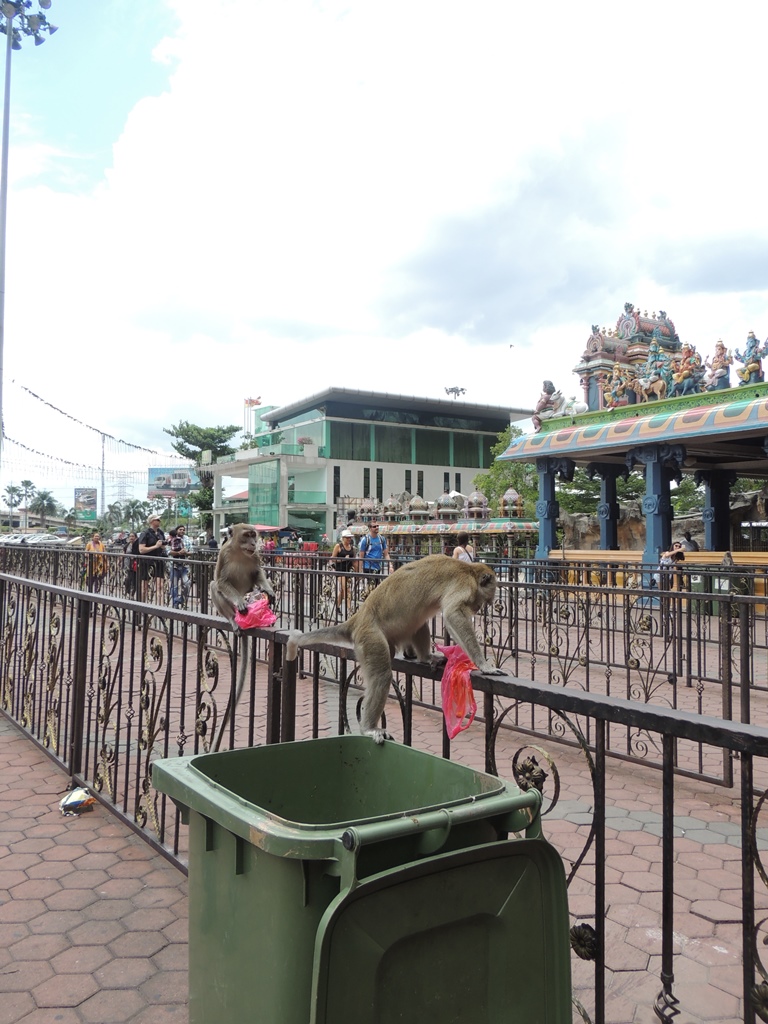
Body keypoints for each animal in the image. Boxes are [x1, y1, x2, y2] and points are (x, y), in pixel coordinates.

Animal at [208, 524, 274, 749]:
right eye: (247, 535)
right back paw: (235, 619)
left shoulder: (254, 557)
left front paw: (268, 591)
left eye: (254, 535)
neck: (239, 552)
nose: (254, 543)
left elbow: (258, 573)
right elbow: (221, 581)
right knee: (214, 585)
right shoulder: (223, 554)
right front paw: (240, 601)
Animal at [286, 552, 501, 745]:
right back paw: (369, 728)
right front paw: (483, 665)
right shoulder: (464, 586)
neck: (470, 571)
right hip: (370, 637)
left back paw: (425, 657)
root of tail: (358, 619)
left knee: (417, 622)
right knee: (381, 675)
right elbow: (453, 614)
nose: (478, 609)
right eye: (485, 600)